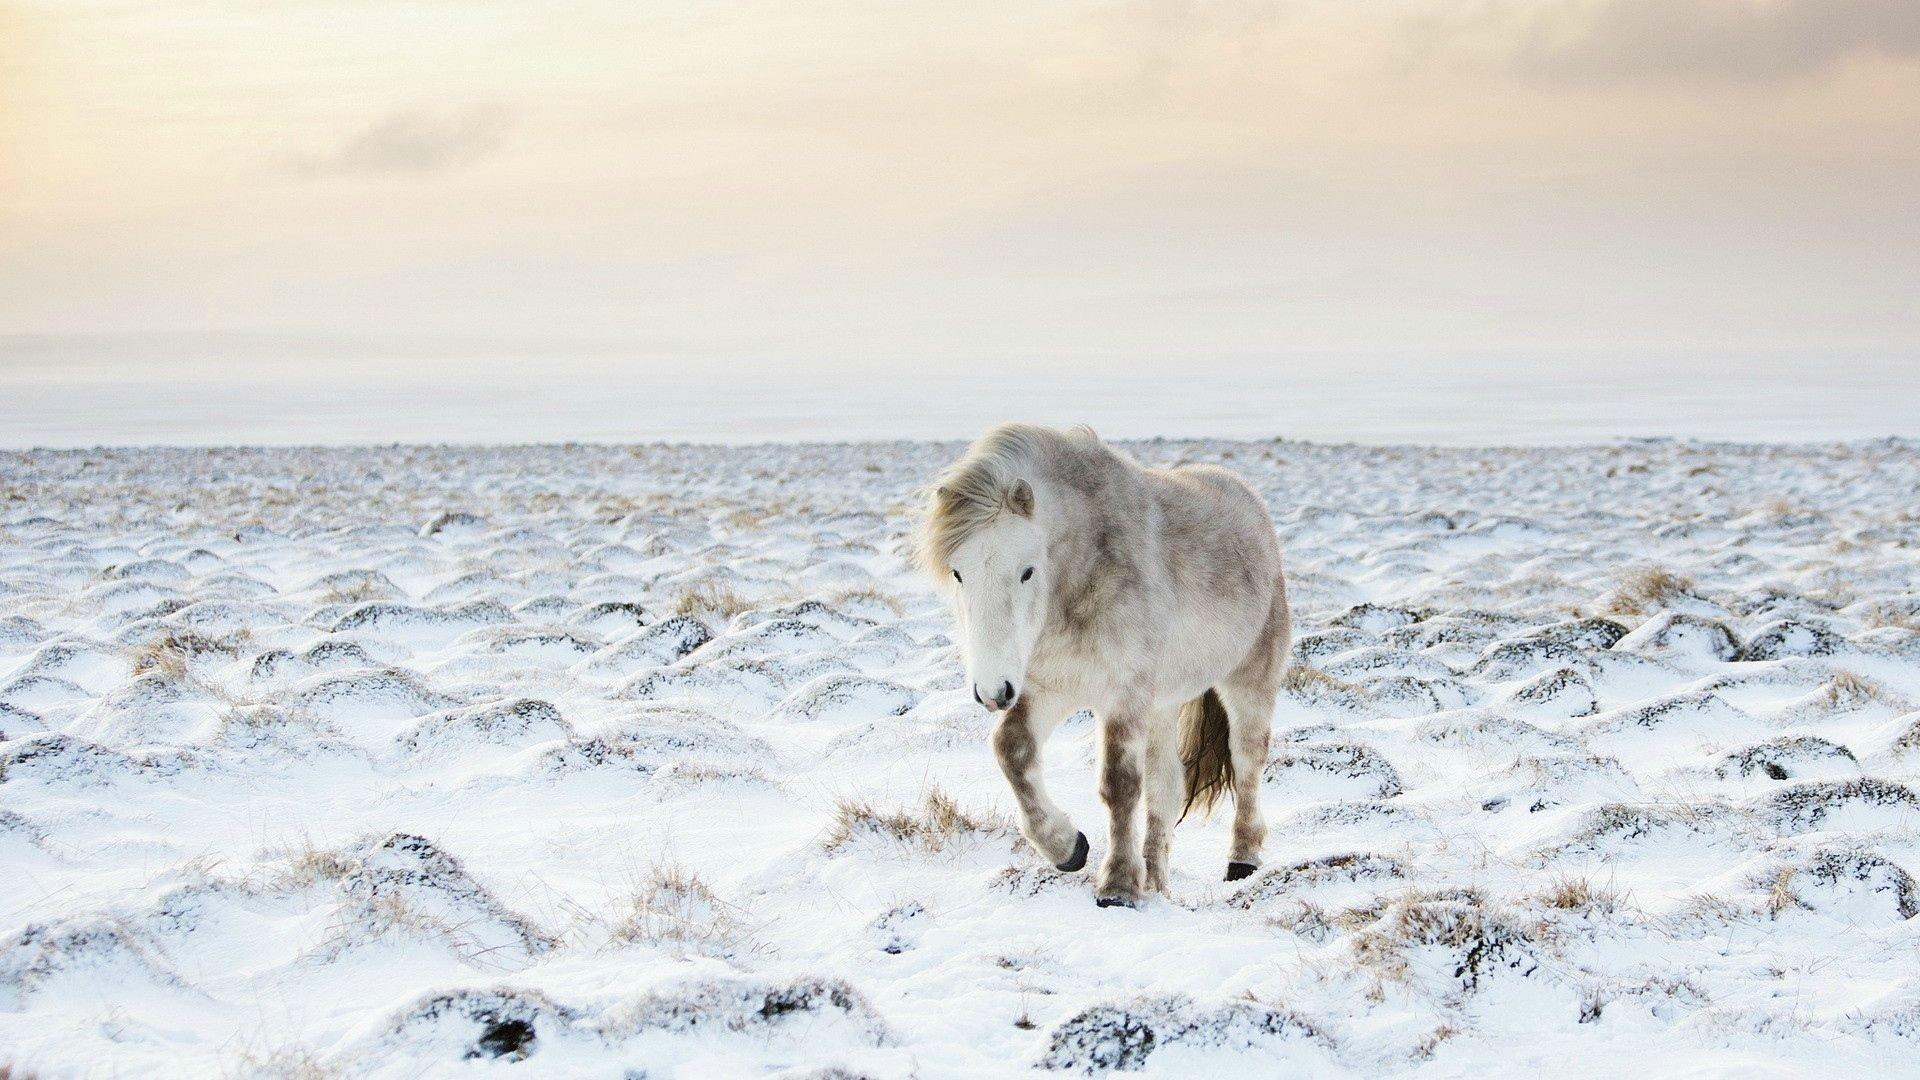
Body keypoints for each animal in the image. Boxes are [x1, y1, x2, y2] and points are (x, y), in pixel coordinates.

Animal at [916, 423, 1290, 906]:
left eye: (1027, 571)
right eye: (958, 573)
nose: (992, 692)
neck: (1082, 574)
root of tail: (1248, 499)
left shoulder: (1122, 695)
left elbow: (1120, 785)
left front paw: (1118, 886)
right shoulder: (1051, 688)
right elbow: (1011, 750)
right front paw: (1067, 847)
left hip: (1248, 679)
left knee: (1247, 763)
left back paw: (1241, 862)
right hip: (1161, 705)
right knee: (1166, 788)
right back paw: (1157, 882)